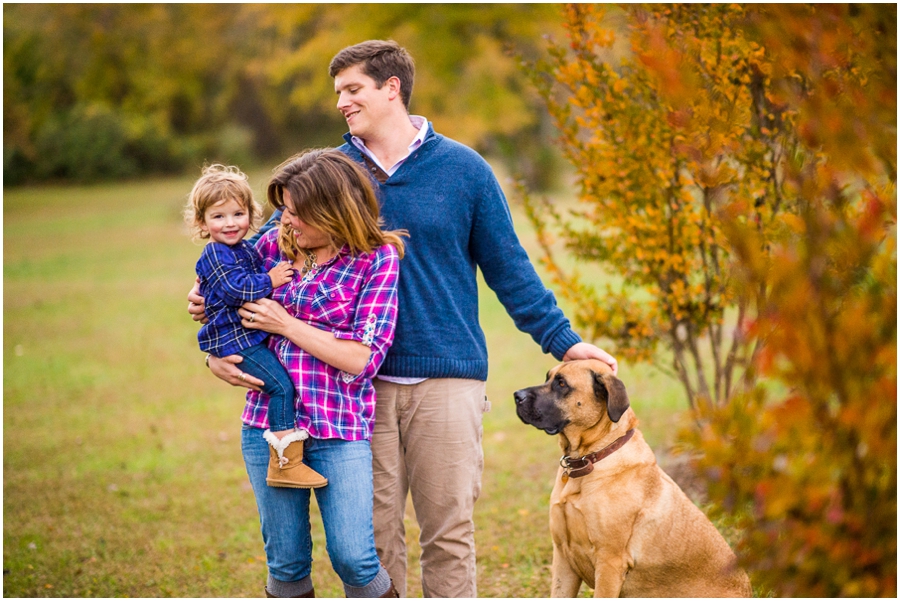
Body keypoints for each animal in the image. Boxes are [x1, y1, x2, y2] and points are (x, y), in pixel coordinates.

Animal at [512, 358, 752, 596]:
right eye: (548, 378)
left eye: (562, 384)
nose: (517, 396)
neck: (590, 458)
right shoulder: (563, 556)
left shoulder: (609, 562)